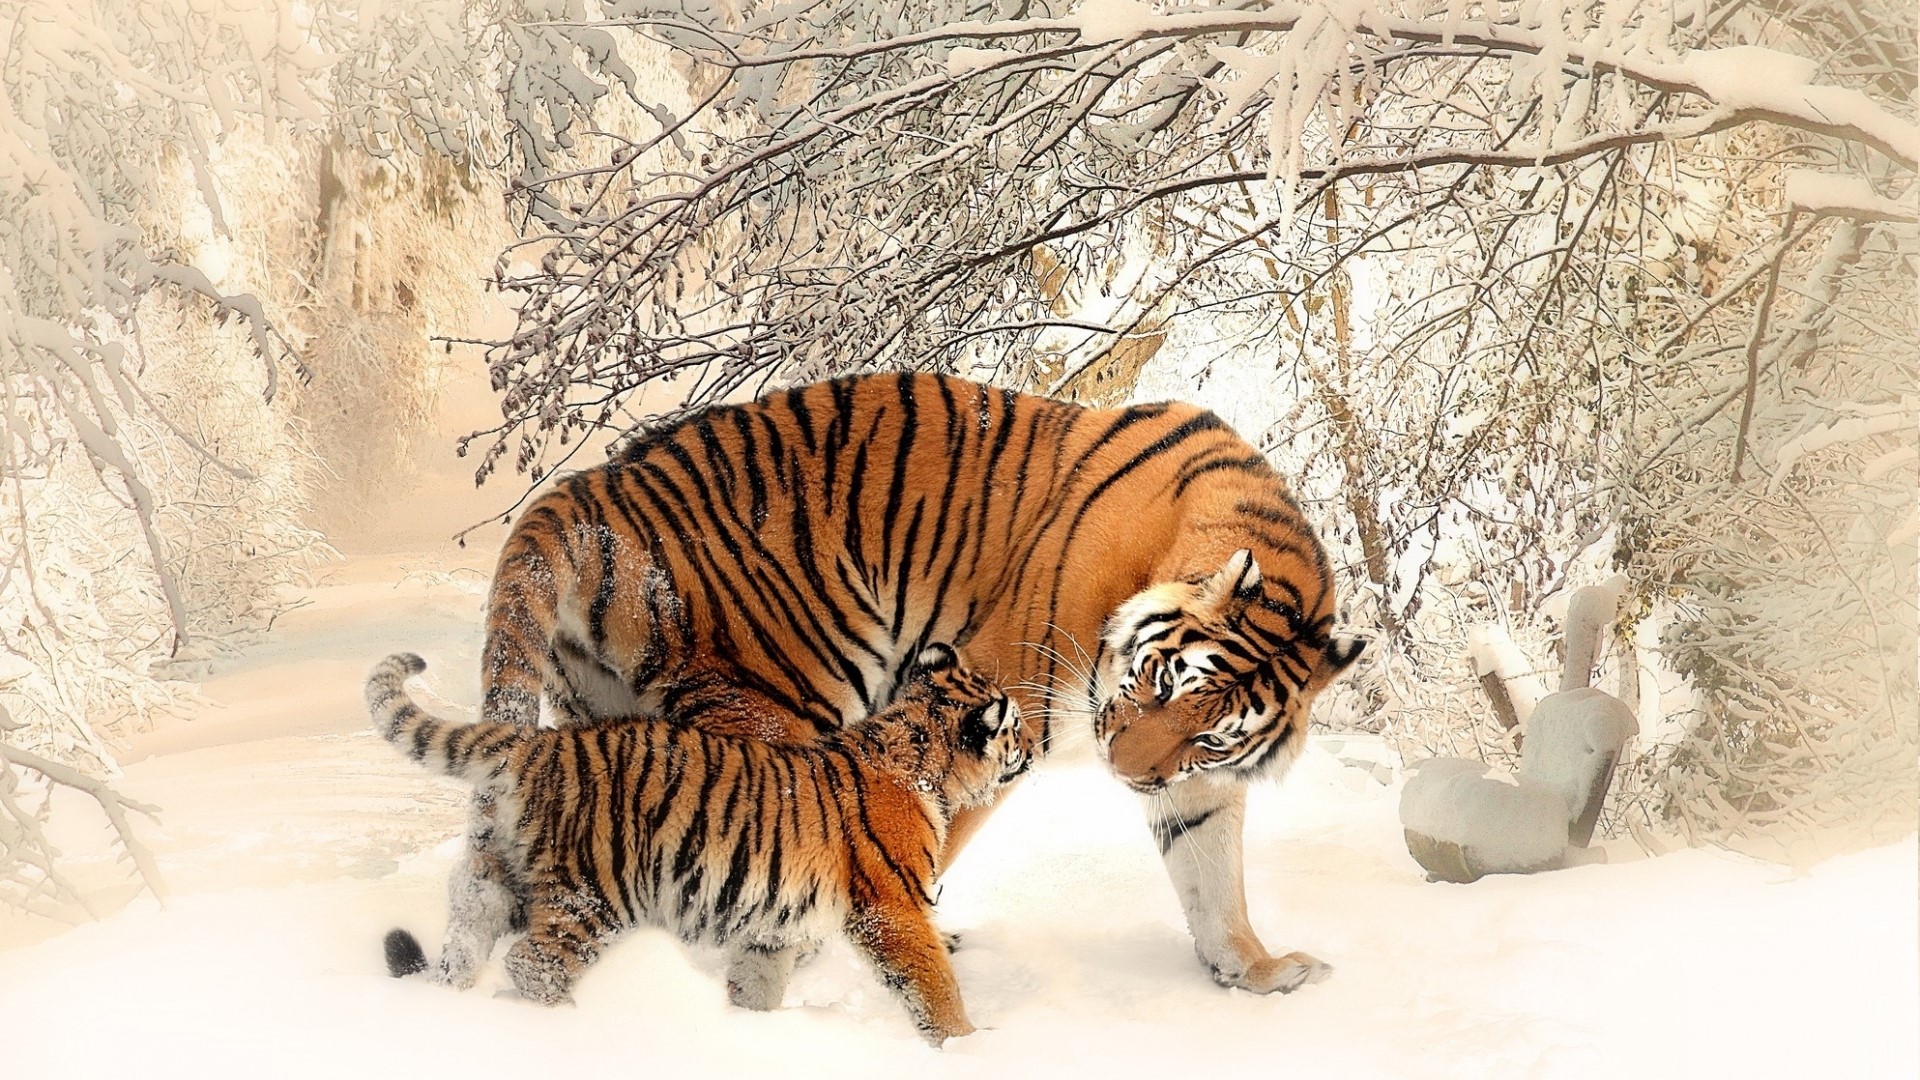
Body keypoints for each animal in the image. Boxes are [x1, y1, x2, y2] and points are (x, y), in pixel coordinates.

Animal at [369, 643, 1032, 1046]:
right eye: (1016, 726)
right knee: (533, 963)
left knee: (468, 936)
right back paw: (571, 1025)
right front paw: (967, 1047)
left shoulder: (774, 925)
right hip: (594, 892)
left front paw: (747, 1029)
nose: (1032, 748)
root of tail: (539, 744)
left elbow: (758, 981)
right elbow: (933, 983)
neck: (921, 759)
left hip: (502, 878)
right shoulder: (893, 909)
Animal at [473, 371, 1364, 998]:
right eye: (1154, 682)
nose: (1125, 774)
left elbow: (1214, 877)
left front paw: (1254, 971)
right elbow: (929, 839)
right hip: (781, 699)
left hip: (606, 718)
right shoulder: (997, 702)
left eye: (1209, 734)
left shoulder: (1197, 781)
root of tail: (588, 488)